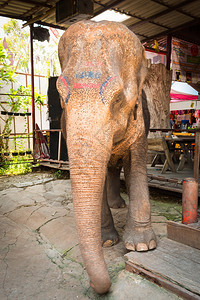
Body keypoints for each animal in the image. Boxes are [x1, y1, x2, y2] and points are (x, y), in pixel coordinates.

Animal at [56, 19, 156, 294]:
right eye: (61, 97)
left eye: (119, 98)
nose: (93, 283)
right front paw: (107, 242)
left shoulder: (140, 124)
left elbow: (137, 167)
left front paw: (142, 247)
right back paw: (115, 205)